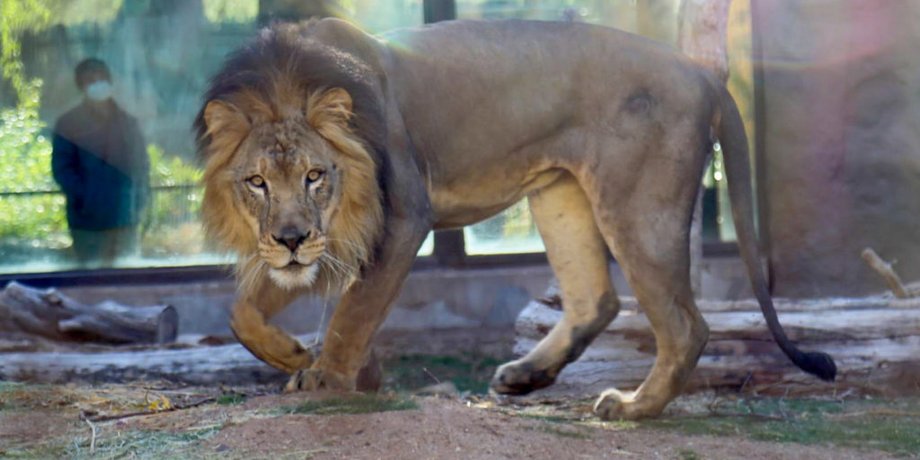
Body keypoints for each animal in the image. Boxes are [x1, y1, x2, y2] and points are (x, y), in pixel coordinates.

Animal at [195, 18, 836, 419]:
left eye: (314, 175)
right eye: (256, 182)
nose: (291, 238)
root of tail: (702, 72)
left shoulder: (401, 217)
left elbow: (355, 311)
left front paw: (329, 377)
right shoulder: (316, 245)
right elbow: (242, 313)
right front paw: (301, 355)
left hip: (638, 206)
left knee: (685, 325)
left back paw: (633, 408)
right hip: (560, 194)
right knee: (596, 300)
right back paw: (526, 376)